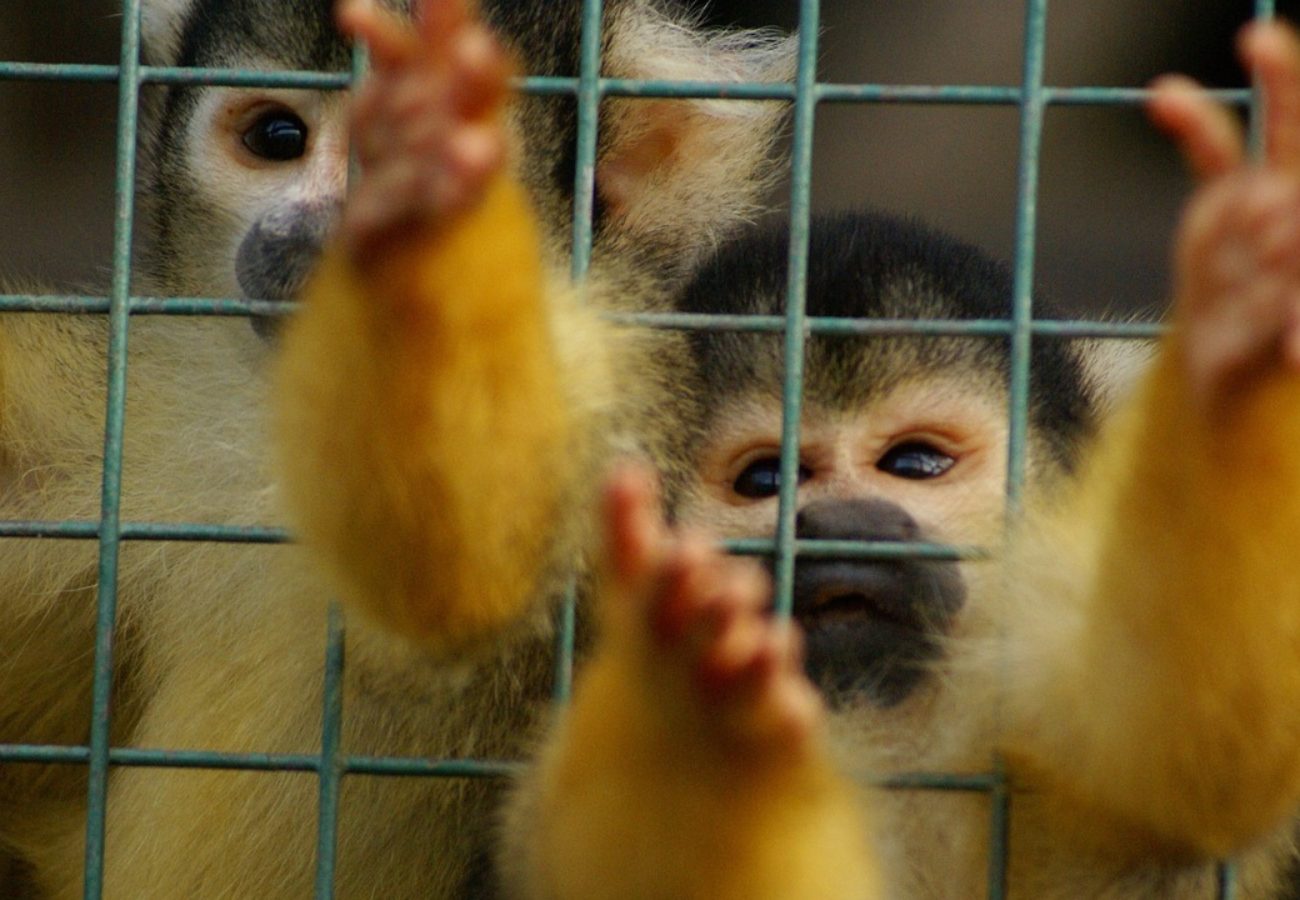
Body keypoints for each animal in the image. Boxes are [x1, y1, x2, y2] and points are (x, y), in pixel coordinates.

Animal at [276, 1, 1300, 895]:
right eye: (766, 478)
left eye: (915, 464)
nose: (838, 520)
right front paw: (695, 713)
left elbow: (1177, 759)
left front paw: (1245, 312)